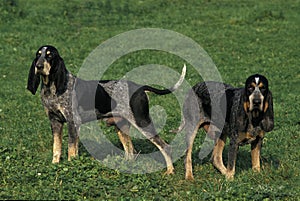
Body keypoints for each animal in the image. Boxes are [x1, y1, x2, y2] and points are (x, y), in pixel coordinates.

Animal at [27, 45, 185, 174]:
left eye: (50, 55)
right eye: (38, 55)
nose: (38, 66)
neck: (51, 89)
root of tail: (140, 88)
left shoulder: (73, 122)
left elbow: (71, 149)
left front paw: (71, 166)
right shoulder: (55, 122)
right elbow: (56, 147)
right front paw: (55, 165)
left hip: (141, 121)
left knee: (165, 146)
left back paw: (170, 171)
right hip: (121, 126)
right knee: (130, 151)